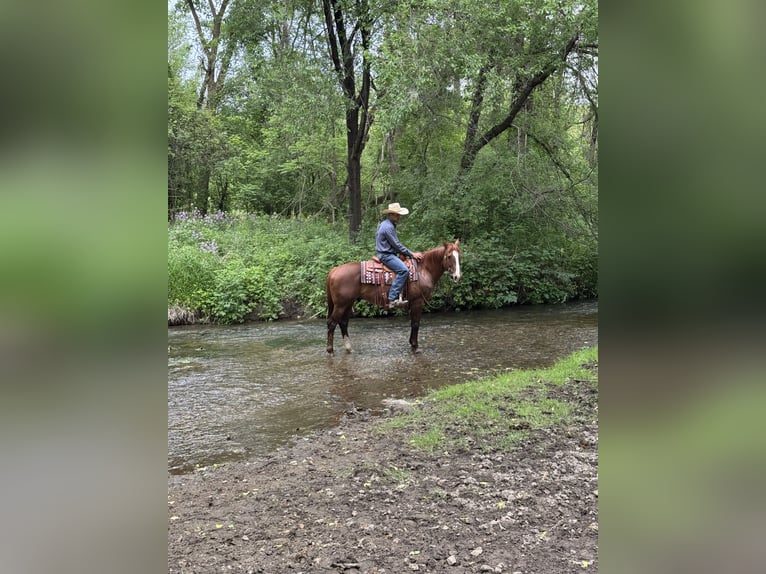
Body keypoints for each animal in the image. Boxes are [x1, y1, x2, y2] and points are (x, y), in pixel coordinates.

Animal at [326, 240, 462, 354]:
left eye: (459, 256)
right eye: (449, 256)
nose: (457, 276)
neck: (424, 269)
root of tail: (333, 270)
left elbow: (412, 323)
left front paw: (412, 344)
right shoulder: (418, 302)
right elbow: (416, 323)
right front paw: (415, 347)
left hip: (348, 303)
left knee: (343, 323)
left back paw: (349, 348)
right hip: (341, 305)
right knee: (332, 323)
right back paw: (330, 350)